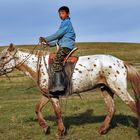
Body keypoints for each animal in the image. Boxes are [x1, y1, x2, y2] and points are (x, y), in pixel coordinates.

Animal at [0, 43, 139, 139]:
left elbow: (57, 112)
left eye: (3, 57)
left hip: (119, 88)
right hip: (106, 89)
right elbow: (37, 109)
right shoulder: (47, 94)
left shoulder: (53, 95)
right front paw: (45, 127)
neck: (39, 66)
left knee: (133, 105)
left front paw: (59, 132)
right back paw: (101, 130)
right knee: (111, 108)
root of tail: (121, 62)